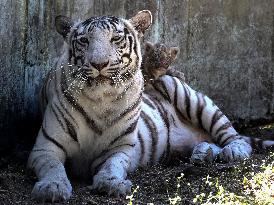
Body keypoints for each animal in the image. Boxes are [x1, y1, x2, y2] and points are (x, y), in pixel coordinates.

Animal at [27, 10, 274, 202]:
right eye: (84, 41)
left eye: (115, 39)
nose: (99, 64)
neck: (100, 99)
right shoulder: (45, 147)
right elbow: (53, 167)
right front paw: (52, 187)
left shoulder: (120, 148)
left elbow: (113, 165)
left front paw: (112, 183)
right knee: (210, 142)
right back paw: (202, 154)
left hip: (189, 97)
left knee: (234, 137)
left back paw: (233, 151)